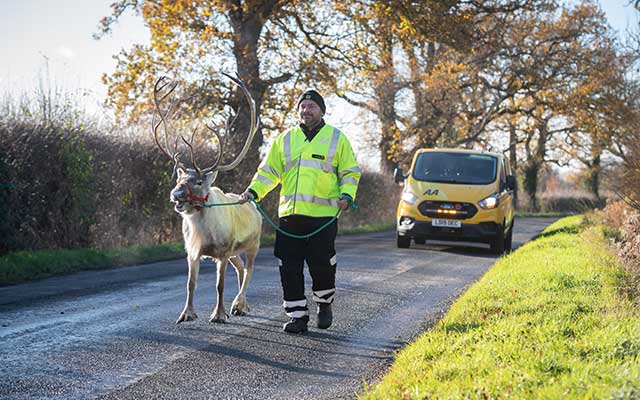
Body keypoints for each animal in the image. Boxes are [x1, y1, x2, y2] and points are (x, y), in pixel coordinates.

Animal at [152, 74, 262, 324]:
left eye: (199, 182)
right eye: (179, 179)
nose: (176, 194)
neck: (203, 230)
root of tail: (254, 205)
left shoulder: (222, 252)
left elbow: (219, 286)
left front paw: (218, 314)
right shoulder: (192, 252)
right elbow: (190, 285)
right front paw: (186, 314)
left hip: (253, 244)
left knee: (249, 270)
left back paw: (239, 304)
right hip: (235, 252)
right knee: (241, 269)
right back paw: (241, 306)